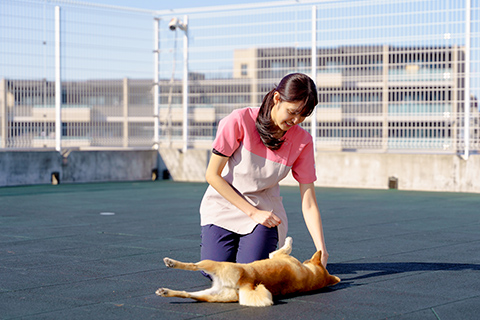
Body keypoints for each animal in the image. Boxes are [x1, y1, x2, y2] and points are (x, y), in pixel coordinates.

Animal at [156, 236, 340, 306]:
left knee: (193, 265)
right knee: (185, 294)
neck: (311, 275)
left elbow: (286, 246)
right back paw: (166, 292)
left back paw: (172, 263)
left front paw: (288, 239)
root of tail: (247, 282)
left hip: (214, 264)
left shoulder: (277, 254)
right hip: (210, 295)